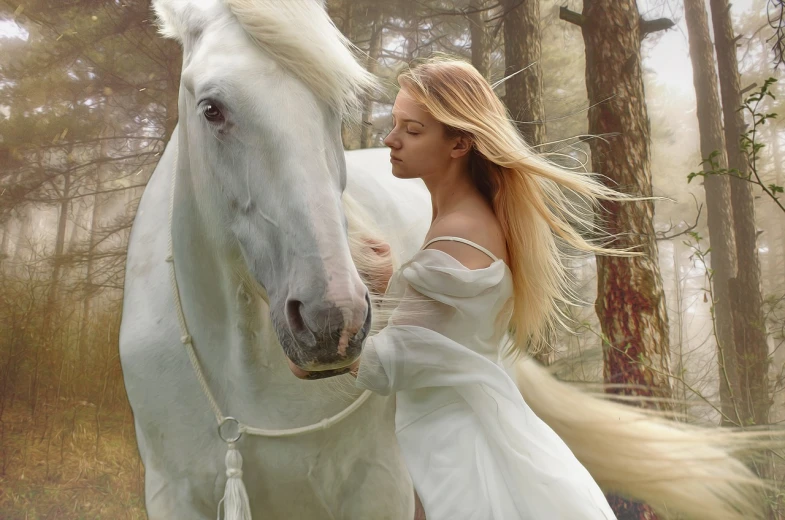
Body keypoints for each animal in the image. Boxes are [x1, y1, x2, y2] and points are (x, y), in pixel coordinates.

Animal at [121, 1, 772, 520]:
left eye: (336, 106)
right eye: (211, 109)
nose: (332, 320)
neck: (246, 370)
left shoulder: (374, 490)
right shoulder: (176, 494)